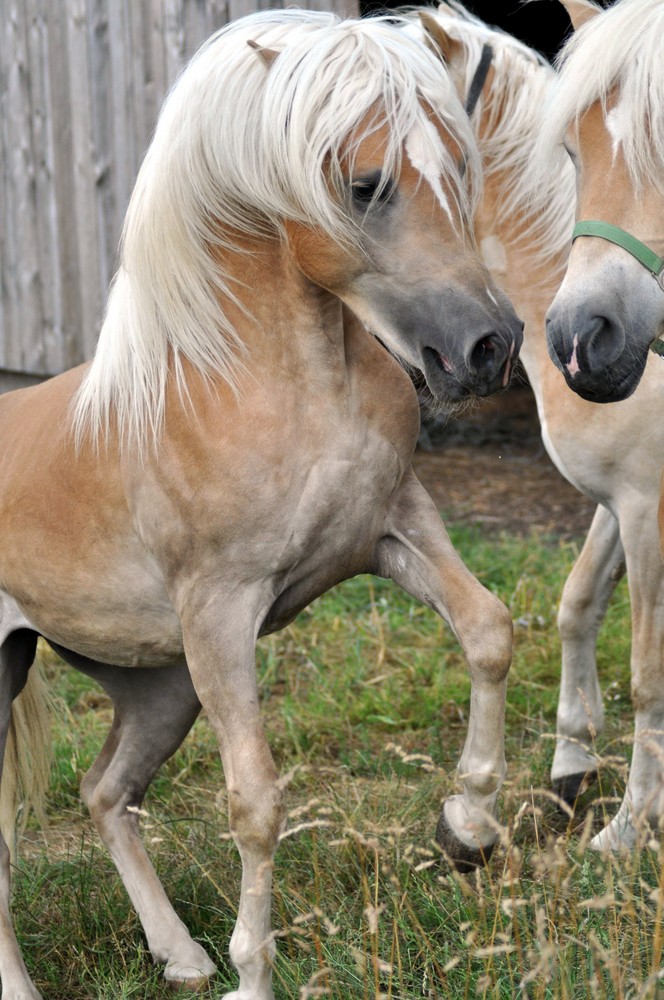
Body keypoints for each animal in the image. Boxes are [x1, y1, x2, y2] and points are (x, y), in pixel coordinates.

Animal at [0, 9, 524, 1000]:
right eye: (365, 185)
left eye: (461, 168)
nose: (487, 346)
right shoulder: (220, 612)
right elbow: (254, 800)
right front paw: (254, 974)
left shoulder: (392, 528)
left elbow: (487, 631)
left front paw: (467, 826)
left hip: (159, 686)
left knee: (105, 792)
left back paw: (180, 955)